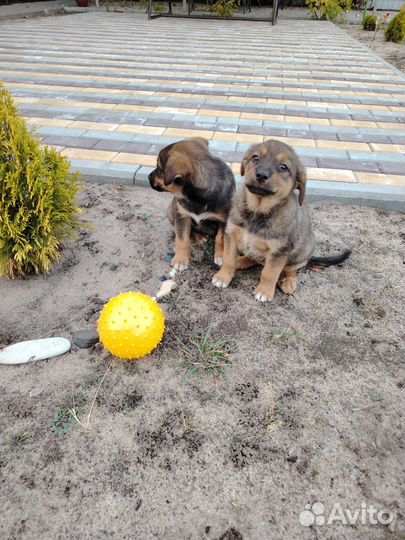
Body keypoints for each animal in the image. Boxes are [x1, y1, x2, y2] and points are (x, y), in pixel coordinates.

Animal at [148, 138, 235, 274]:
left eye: (159, 168)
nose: (148, 177)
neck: (196, 196)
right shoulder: (182, 215)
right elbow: (182, 239)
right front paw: (180, 260)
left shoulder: (224, 220)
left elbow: (220, 239)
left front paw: (220, 256)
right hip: (171, 211)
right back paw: (199, 238)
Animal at [211, 139, 350, 302]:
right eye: (255, 158)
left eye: (283, 167)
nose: (261, 175)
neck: (257, 210)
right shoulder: (232, 234)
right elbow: (228, 259)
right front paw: (222, 277)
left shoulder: (279, 250)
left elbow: (269, 273)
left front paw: (264, 292)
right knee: (255, 259)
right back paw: (241, 261)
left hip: (300, 254)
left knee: (289, 269)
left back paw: (288, 282)